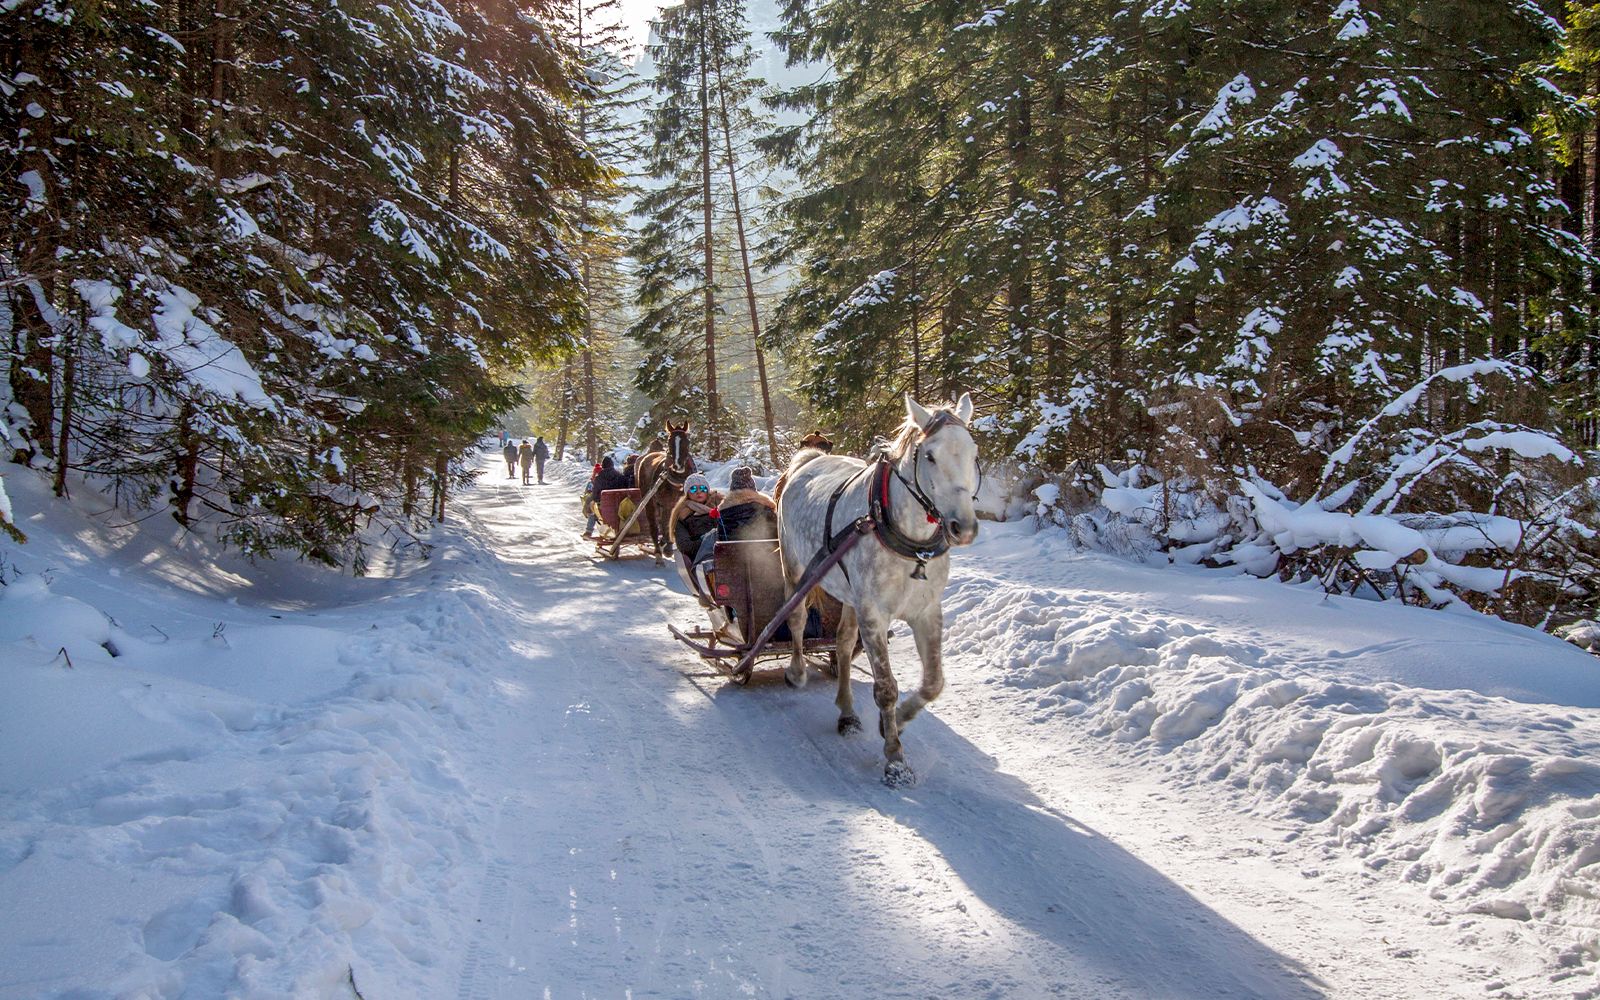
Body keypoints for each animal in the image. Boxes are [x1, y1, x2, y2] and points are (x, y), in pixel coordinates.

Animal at [630, 416, 694, 566]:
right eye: (669, 441)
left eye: (687, 441)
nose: (677, 465)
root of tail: (648, 456)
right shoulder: (667, 503)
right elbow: (666, 523)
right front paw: (667, 547)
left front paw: (667, 542)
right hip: (649, 501)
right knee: (654, 525)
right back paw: (658, 552)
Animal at [771, 393, 972, 784]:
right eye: (930, 456)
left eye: (973, 452)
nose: (963, 527)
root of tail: (807, 461)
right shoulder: (875, 614)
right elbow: (886, 687)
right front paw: (894, 757)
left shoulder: (926, 611)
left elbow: (933, 682)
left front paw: (896, 724)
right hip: (797, 570)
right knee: (797, 620)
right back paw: (797, 671)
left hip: (851, 597)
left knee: (843, 643)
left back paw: (847, 712)